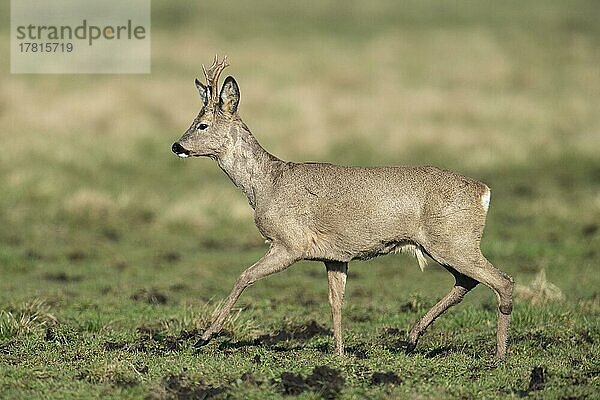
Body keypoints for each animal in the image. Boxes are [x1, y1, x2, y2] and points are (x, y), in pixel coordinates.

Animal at [171, 56, 512, 360]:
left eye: (201, 125)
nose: (177, 146)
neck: (266, 184)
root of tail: (484, 191)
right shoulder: (334, 256)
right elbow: (336, 302)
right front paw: (339, 353)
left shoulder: (291, 242)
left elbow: (244, 276)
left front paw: (204, 337)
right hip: (444, 244)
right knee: (466, 282)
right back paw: (412, 338)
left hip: (454, 240)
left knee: (501, 281)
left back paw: (498, 355)